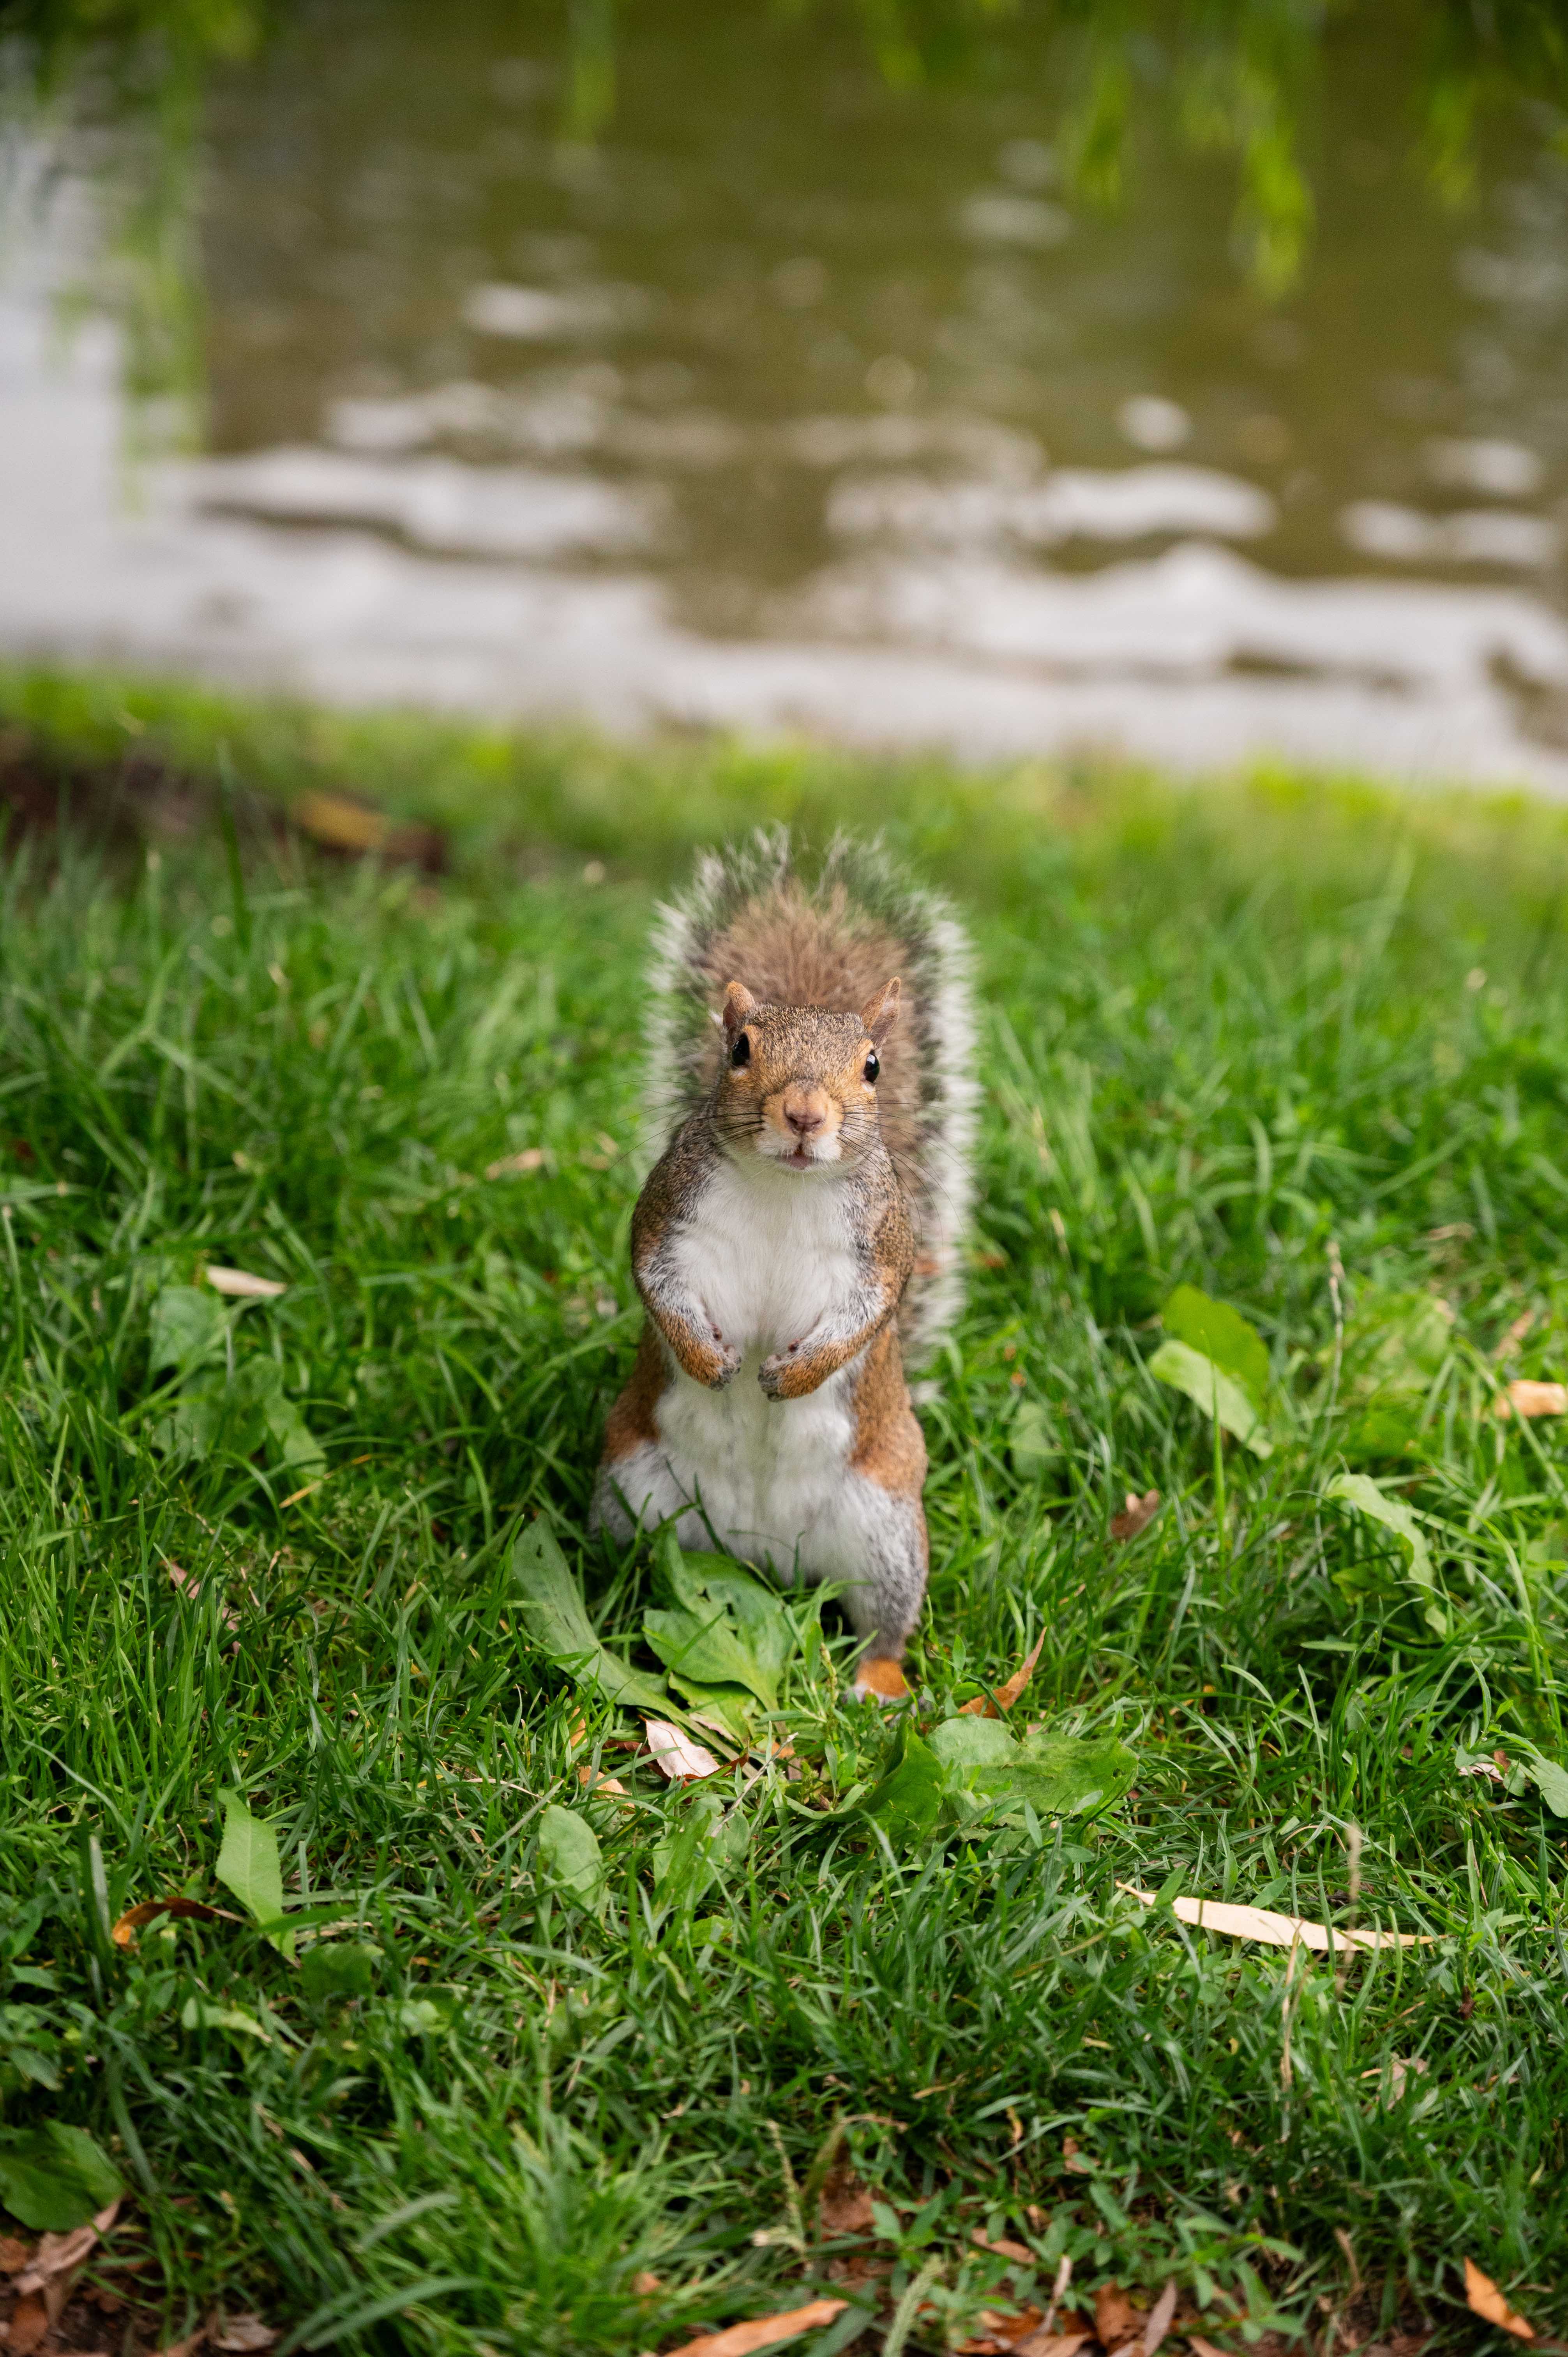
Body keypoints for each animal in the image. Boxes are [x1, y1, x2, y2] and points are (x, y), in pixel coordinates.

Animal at [592, 829, 977, 1696]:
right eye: (738, 1049)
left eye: (872, 1065)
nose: (803, 1114)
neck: (783, 1186)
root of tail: (760, 1553)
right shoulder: (666, 1217)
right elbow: (655, 1284)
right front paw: (709, 1361)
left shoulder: (880, 1253)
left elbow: (866, 1317)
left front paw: (790, 1375)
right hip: (634, 1494)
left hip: (882, 1532)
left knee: (882, 1626)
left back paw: (875, 1685)